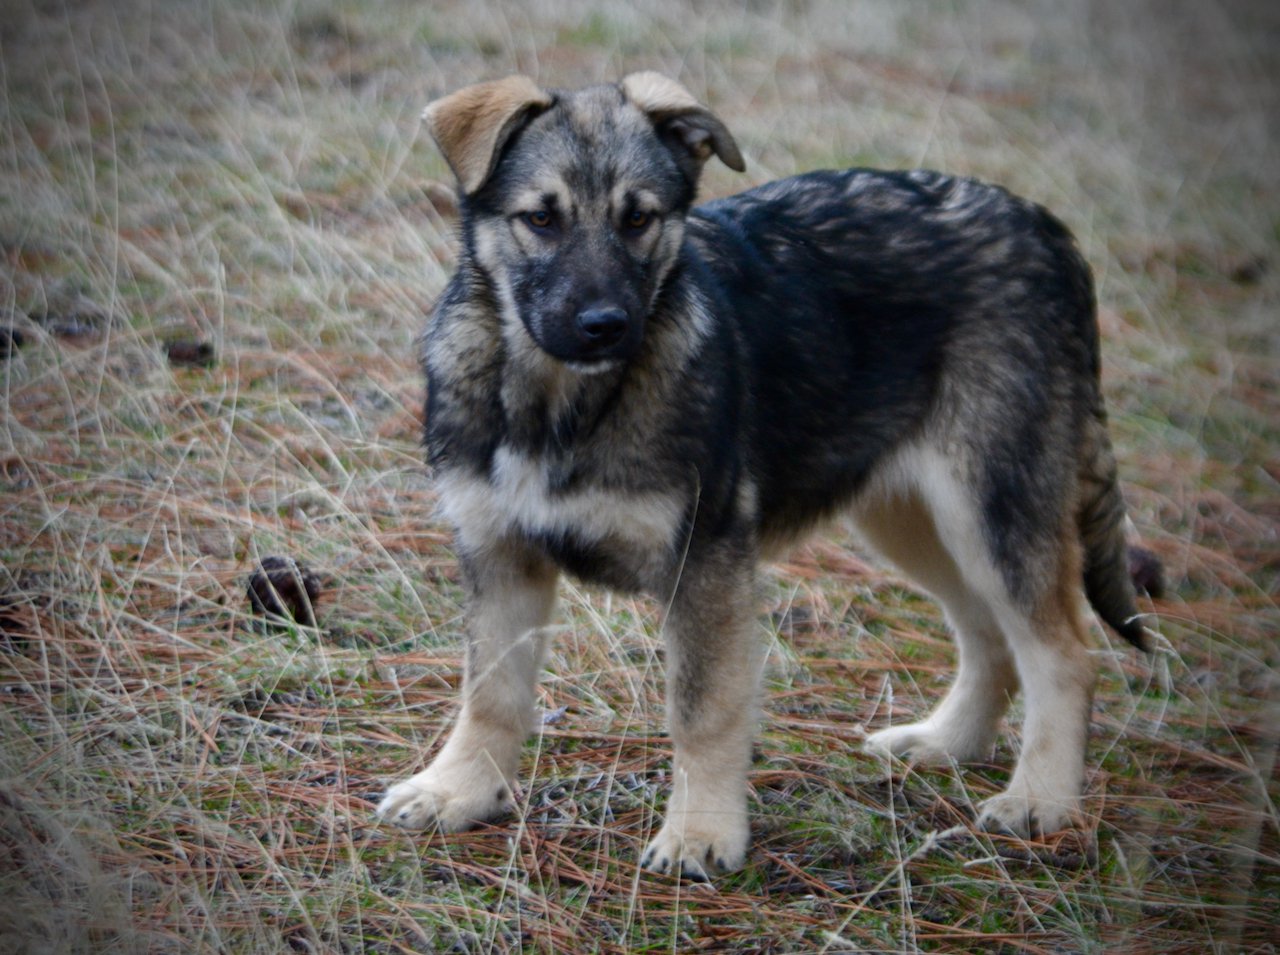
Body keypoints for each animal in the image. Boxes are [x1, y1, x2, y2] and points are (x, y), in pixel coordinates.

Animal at [373, 72, 1157, 875]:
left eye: (639, 219)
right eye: (540, 218)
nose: (605, 326)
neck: (559, 402)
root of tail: (1042, 224)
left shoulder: (706, 562)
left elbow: (702, 710)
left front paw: (701, 833)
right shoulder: (499, 552)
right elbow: (491, 692)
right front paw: (459, 790)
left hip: (991, 506)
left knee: (1063, 655)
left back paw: (1042, 799)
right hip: (913, 517)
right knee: (987, 634)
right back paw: (946, 743)